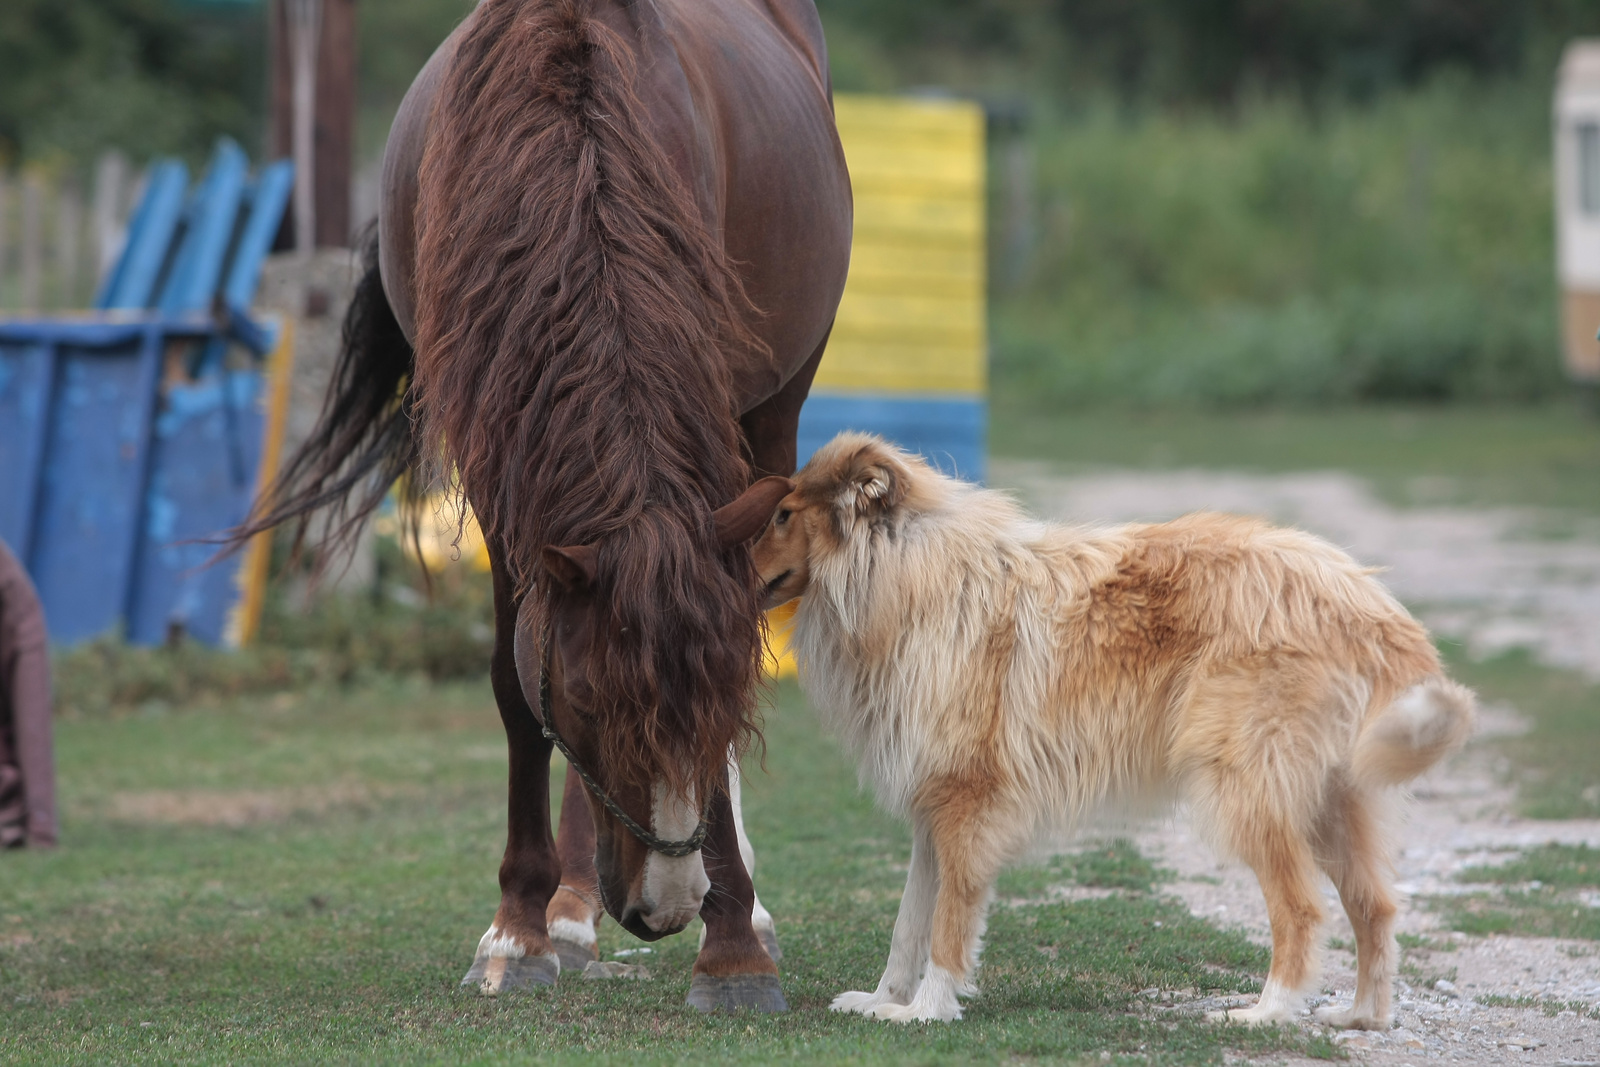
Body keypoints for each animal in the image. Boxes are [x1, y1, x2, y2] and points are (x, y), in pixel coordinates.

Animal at [249, 0, 851, 1011]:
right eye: (593, 701)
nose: (666, 906)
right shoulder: (502, 474)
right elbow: (513, 679)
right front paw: (520, 927)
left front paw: (733, 939)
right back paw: (570, 912)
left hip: (774, 407)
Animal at [755, 431, 1478, 1023]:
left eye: (783, 515)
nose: (729, 558)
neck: (906, 575)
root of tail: (1369, 601)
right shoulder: (932, 810)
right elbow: (909, 920)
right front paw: (882, 1000)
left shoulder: (967, 804)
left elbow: (948, 924)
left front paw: (928, 1010)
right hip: (1331, 796)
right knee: (1376, 906)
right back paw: (1360, 1016)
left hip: (1247, 788)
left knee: (1302, 907)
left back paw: (1266, 1012)